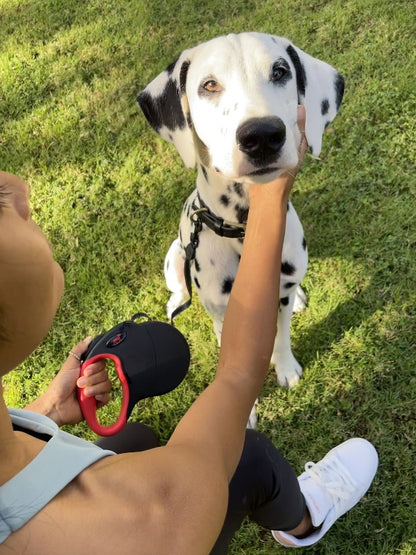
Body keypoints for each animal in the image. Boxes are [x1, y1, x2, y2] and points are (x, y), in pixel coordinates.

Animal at [138, 32, 342, 424]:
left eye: (280, 71)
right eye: (209, 85)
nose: (262, 135)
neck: (244, 229)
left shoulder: (277, 299)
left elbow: (280, 336)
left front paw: (286, 368)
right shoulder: (222, 314)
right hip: (175, 255)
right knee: (179, 287)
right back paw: (176, 300)